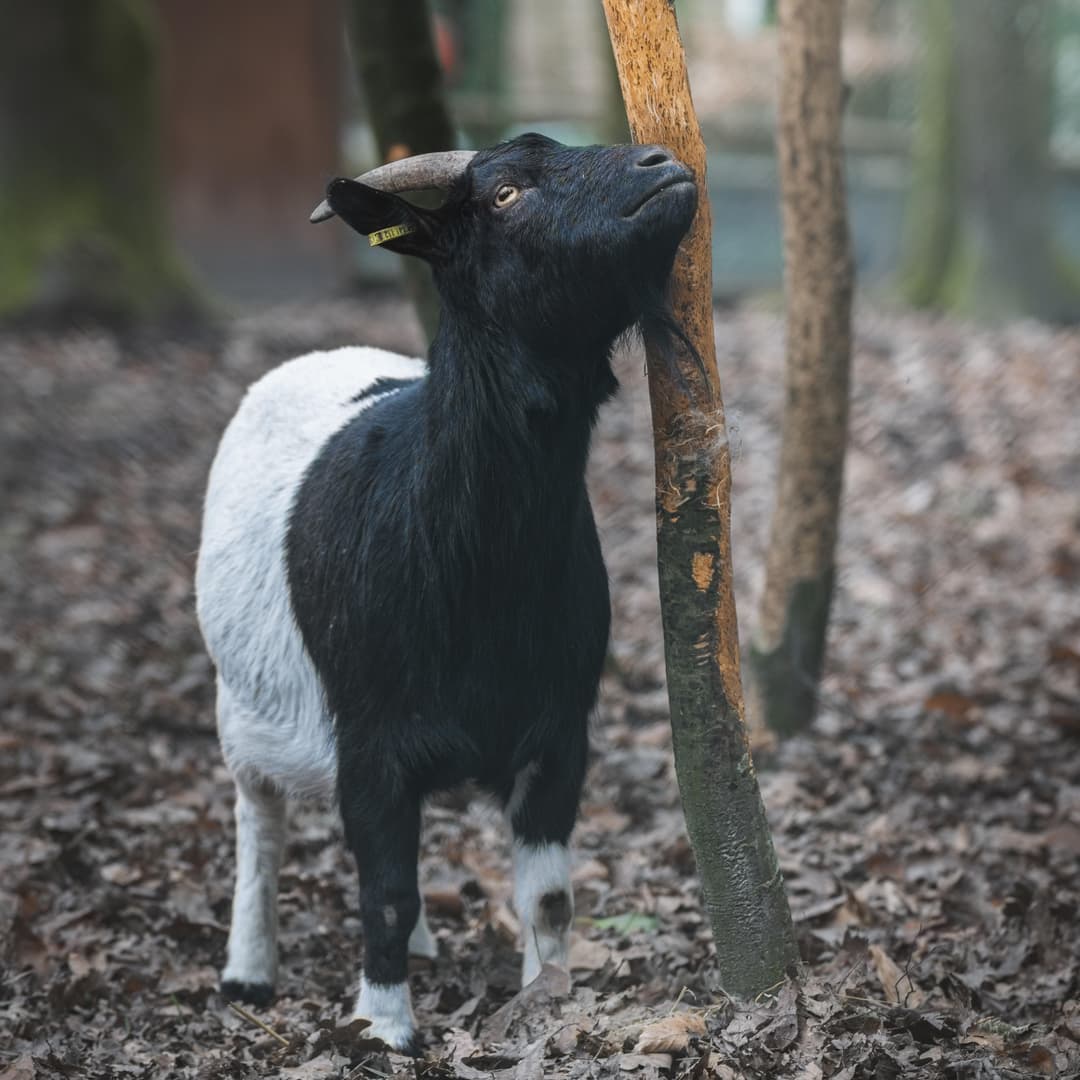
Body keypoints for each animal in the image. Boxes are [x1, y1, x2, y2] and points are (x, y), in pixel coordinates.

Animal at [195, 130, 695, 1049]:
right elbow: (384, 890)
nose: (660, 163)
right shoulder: (369, 740)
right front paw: (385, 1027)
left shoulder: (558, 733)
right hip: (240, 705)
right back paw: (249, 970)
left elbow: (548, 896)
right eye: (503, 195)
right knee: (259, 816)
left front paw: (546, 1003)